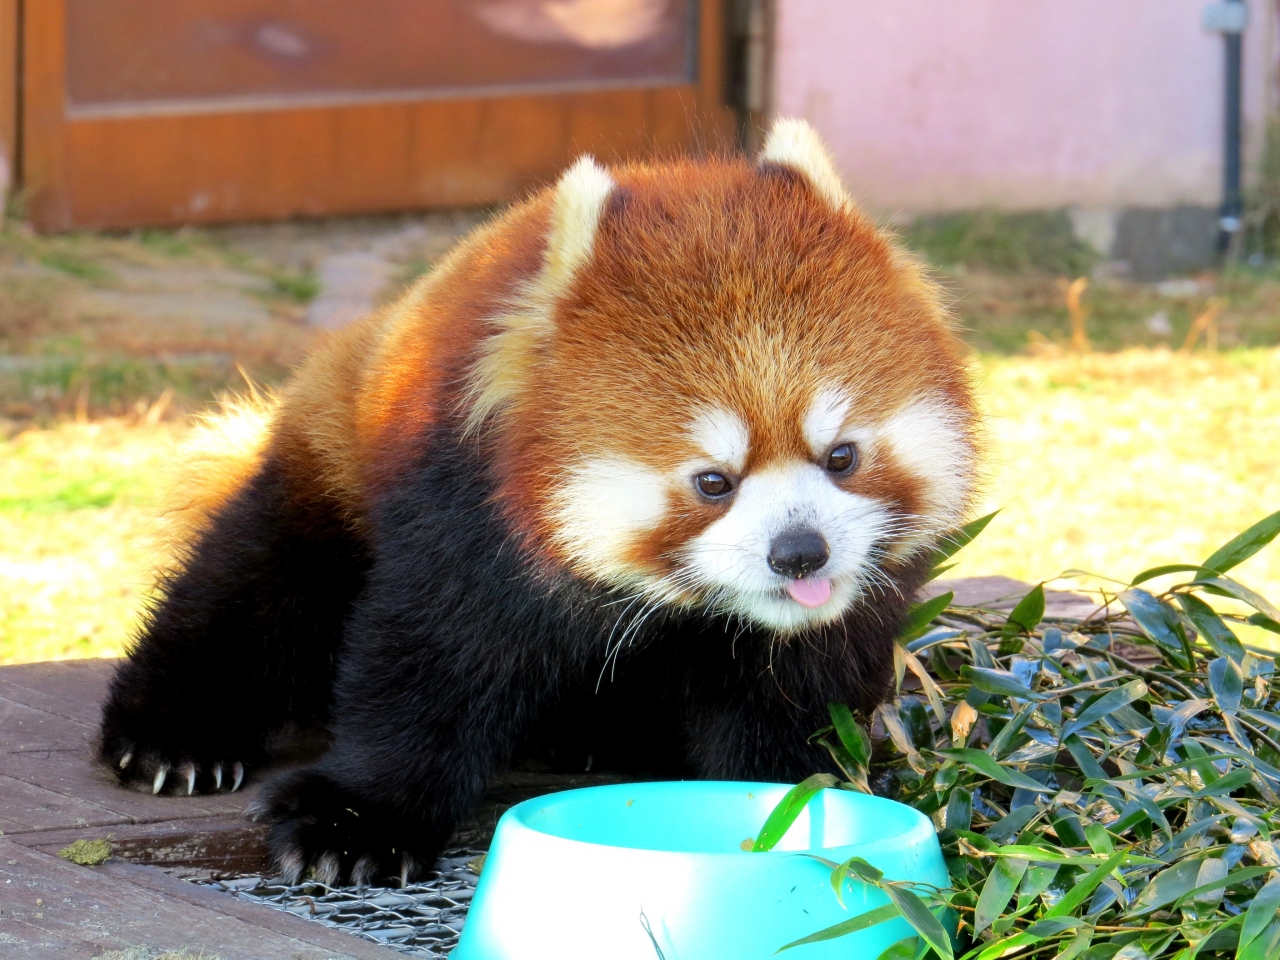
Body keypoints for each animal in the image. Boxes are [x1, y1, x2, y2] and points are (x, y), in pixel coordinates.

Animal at [99, 118, 977, 885]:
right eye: (712, 481)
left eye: (842, 456)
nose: (800, 553)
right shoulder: (462, 511)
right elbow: (427, 664)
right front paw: (355, 822)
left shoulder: (836, 616)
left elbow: (794, 700)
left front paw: (789, 800)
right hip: (327, 469)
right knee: (257, 583)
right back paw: (171, 738)